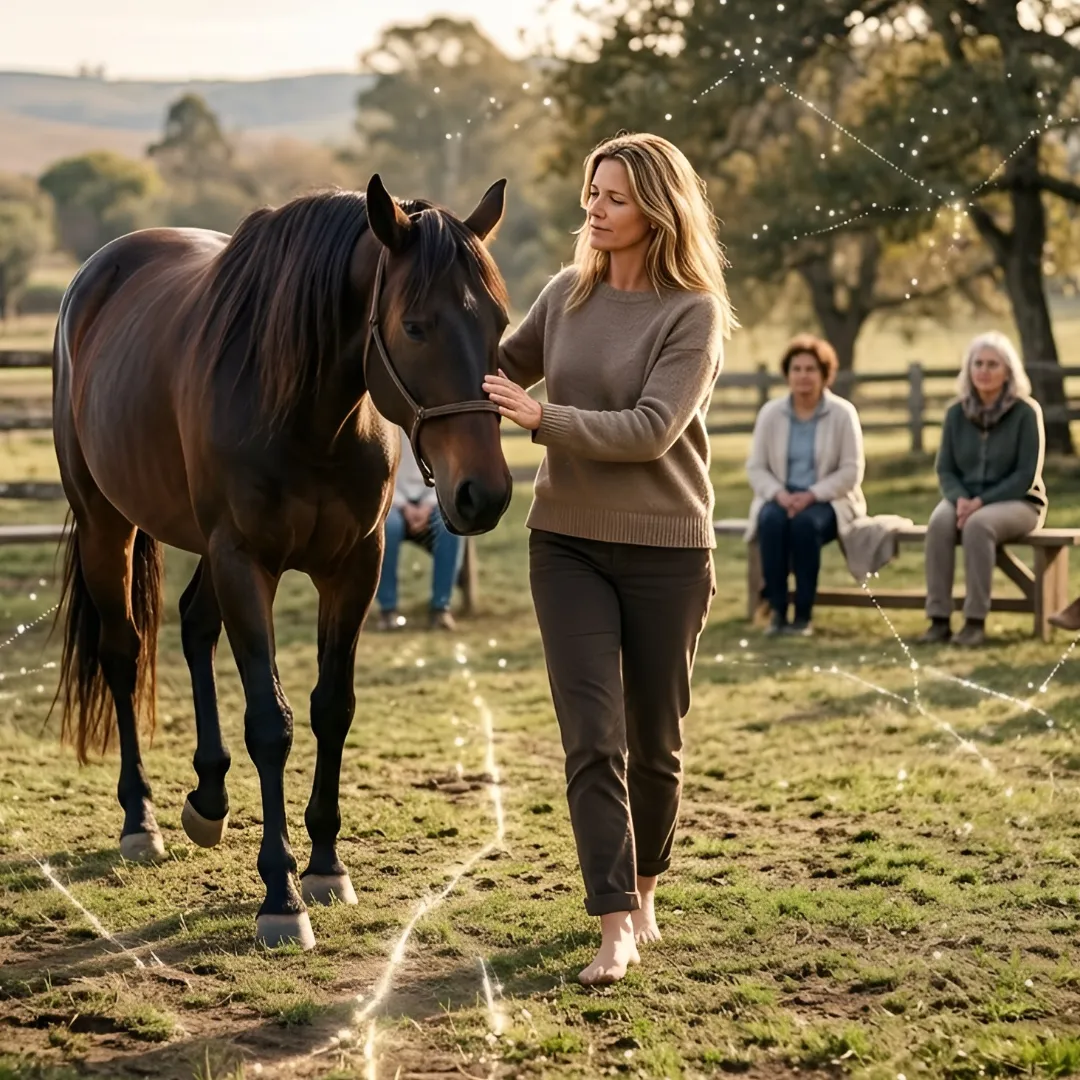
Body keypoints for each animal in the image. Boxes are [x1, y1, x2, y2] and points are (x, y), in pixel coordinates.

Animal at [50, 174, 514, 949]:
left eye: (501, 325)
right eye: (416, 326)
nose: (485, 493)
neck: (307, 413)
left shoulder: (353, 566)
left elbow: (333, 709)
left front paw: (326, 866)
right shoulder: (247, 563)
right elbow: (272, 722)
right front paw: (281, 895)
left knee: (194, 625)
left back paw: (208, 799)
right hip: (105, 525)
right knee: (123, 652)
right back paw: (140, 820)